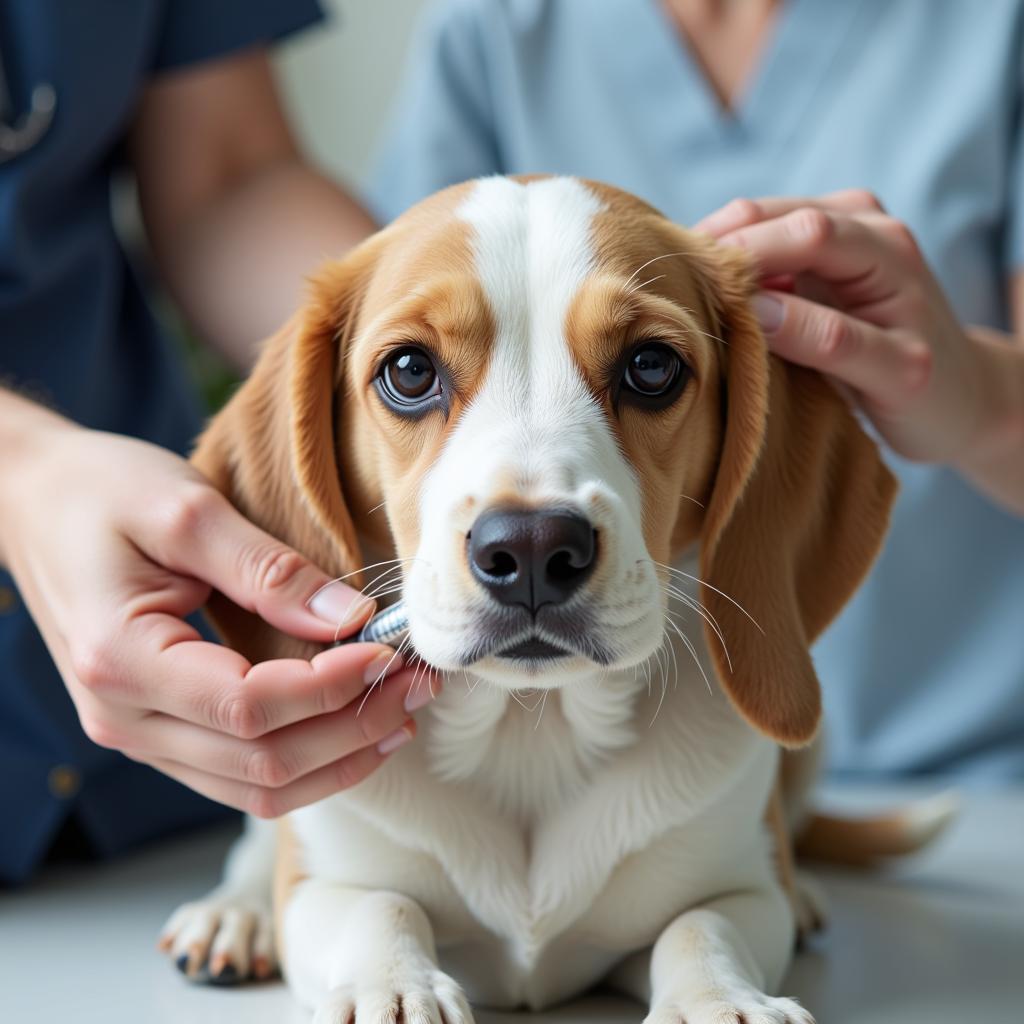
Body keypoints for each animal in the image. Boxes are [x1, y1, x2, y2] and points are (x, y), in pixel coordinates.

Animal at [159, 178, 897, 1024]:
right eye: (409, 371)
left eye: (652, 366)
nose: (536, 549)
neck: (527, 731)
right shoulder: (321, 890)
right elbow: (379, 906)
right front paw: (393, 987)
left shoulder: (741, 893)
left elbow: (699, 927)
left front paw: (722, 1001)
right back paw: (232, 914)